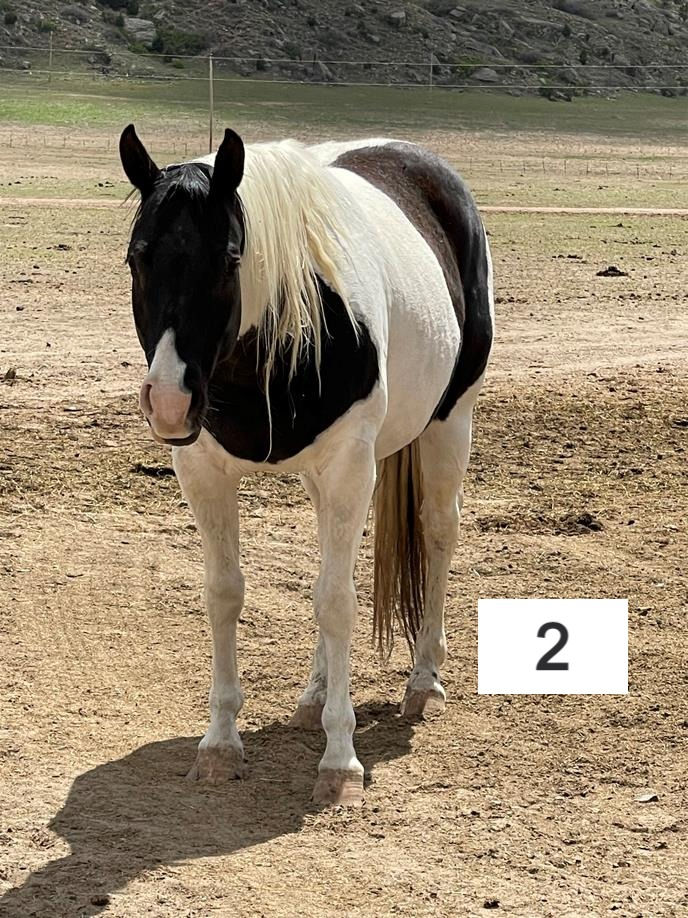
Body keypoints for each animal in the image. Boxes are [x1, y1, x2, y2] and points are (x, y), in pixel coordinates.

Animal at [119, 124, 494, 806]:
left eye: (230, 259)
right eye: (139, 257)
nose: (169, 401)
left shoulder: (349, 465)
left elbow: (337, 601)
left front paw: (340, 762)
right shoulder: (203, 471)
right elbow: (224, 594)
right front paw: (219, 745)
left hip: (451, 422)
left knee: (437, 534)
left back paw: (423, 682)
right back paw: (316, 694)